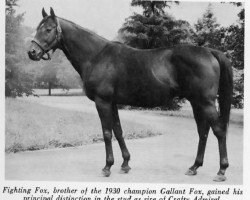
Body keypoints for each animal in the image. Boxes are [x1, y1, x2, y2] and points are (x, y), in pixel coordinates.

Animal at [28, 7, 233, 182]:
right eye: (38, 28)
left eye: (48, 29)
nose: (32, 52)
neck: (97, 56)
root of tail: (209, 52)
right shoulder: (112, 103)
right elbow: (118, 131)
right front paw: (125, 164)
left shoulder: (102, 102)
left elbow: (107, 133)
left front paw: (107, 167)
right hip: (196, 102)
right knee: (203, 132)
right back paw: (194, 167)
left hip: (205, 102)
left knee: (219, 131)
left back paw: (221, 171)